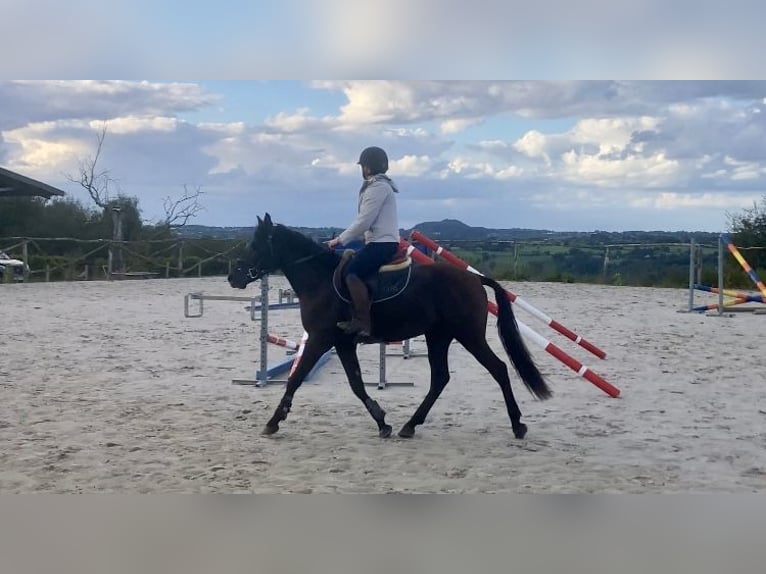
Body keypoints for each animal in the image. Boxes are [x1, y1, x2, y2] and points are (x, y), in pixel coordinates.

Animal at [228, 215, 552, 440]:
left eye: (256, 244)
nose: (234, 277)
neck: (320, 280)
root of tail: (474, 278)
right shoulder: (342, 343)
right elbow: (356, 384)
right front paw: (382, 422)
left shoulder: (320, 339)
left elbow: (295, 379)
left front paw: (273, 422)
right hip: (438, 336)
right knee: (440, 378)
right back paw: (410, 425)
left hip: (468, 335)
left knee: (498, 369)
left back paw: (517, 424)